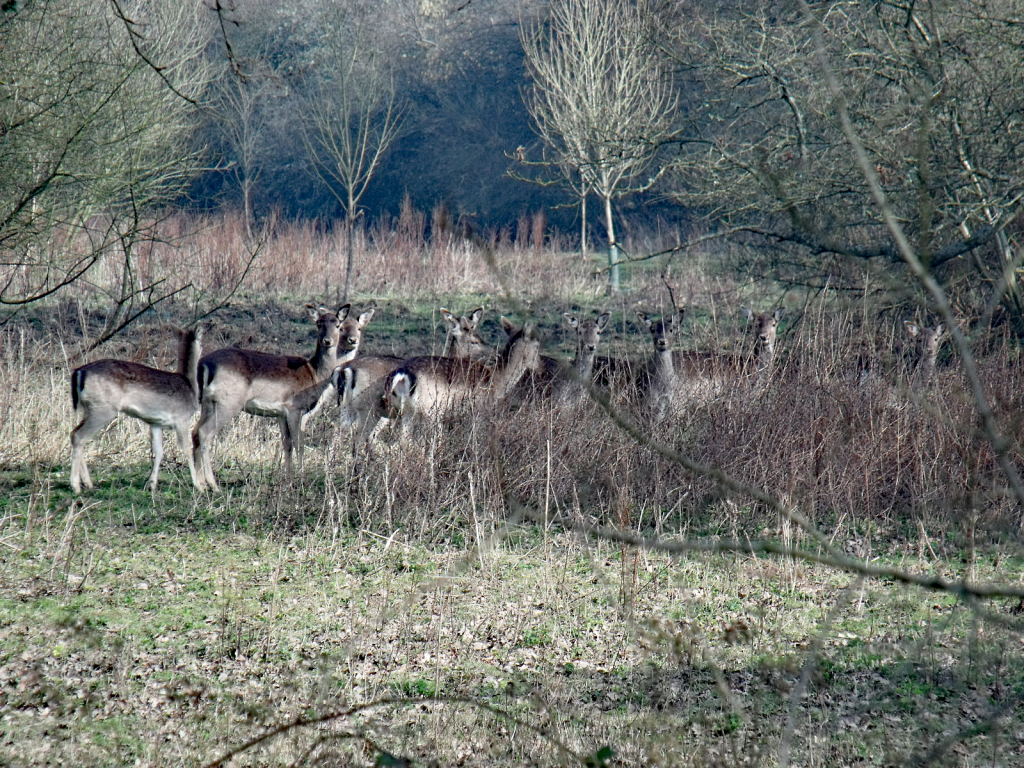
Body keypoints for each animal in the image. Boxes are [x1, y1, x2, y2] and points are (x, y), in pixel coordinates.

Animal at [70, 325, 203, 493]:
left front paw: (151, 484)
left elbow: (158, 451)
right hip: (103, 409)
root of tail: (79, 372)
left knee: (75, 434)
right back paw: (75, 485)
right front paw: (198, 485)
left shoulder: (156, 422)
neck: (190, 387)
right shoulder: (181, 418)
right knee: (79, 436)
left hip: (89, 408)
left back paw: (88, 483)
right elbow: (186, 449)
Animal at [192, 303, 372, 489]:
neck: (315, 375)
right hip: (228, 402)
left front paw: (288, 478)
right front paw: (301, 478)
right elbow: (299, 443)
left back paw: (199, 485)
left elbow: (287, 444)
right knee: (205, 433)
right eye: (319, 324)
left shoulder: (280, 414)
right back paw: (213, 485)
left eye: (337, 325)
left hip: (208, 403)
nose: (328, 341)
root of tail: (204, 364)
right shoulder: (295, 408)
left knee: (195, 431)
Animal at [385, 319, 544, 438]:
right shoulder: (479, 409)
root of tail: (402, 374)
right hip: (431, 410)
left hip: (404, 410)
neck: (496, 381)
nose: (540, 369)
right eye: (537, 346)